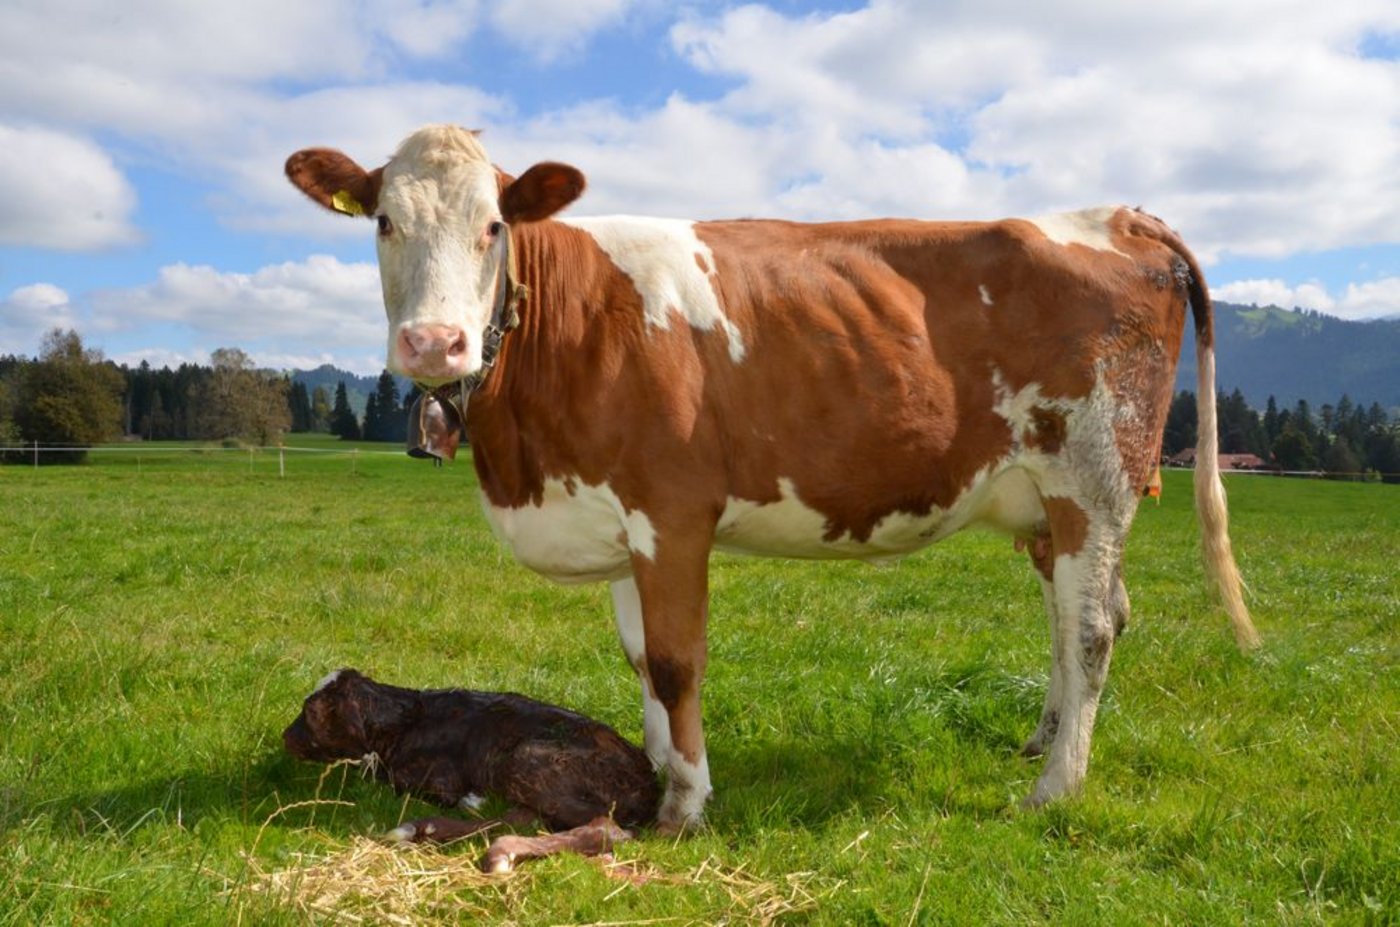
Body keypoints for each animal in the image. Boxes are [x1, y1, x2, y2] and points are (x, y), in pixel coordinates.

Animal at [285, 124, 1259, 831]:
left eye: (494, 225)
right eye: (382, 222)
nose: (433, 343)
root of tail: (1119, 215)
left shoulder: (671, 511)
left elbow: (676, 658)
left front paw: (684, 803)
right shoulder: (617, 520)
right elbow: (640, 657)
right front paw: (652, 766)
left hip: (1093, 474)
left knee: (1091, 627)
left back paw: (1055, 788)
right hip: (1044, 504)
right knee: (1072, 618)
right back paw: (1040, 743)